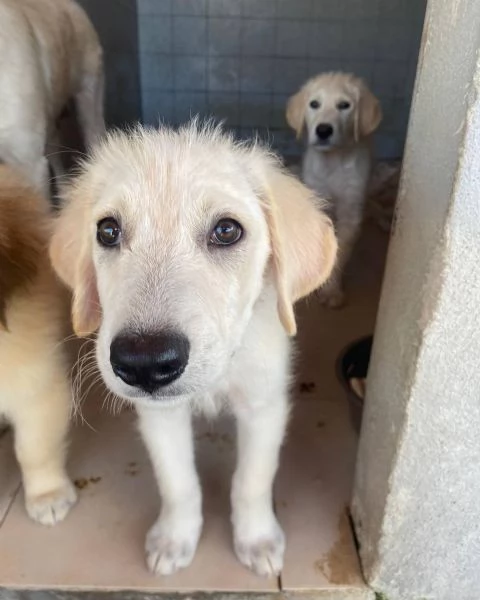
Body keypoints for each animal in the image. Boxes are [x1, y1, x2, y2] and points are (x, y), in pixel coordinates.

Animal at [284, 72, 382, 308]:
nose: (323, 130)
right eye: (314, 104)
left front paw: (331, 290)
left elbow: (340, 252)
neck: (333, 162)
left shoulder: (351, 210)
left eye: (344, 105)